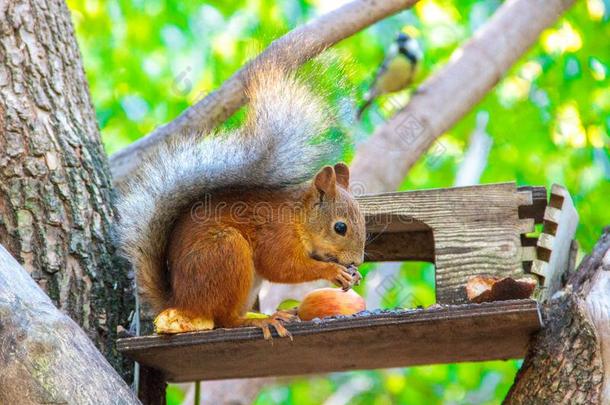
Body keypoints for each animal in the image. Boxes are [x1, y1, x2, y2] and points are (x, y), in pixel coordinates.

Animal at [119, 64, 366, 338]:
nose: (357, 261)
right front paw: (333, 271)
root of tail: (182, 301)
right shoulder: (276, 235)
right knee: (225, 319)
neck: (299, 218)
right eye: (340, 227)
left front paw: (351, 274)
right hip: (226, 252)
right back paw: (259, 321)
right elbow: (281, 267)